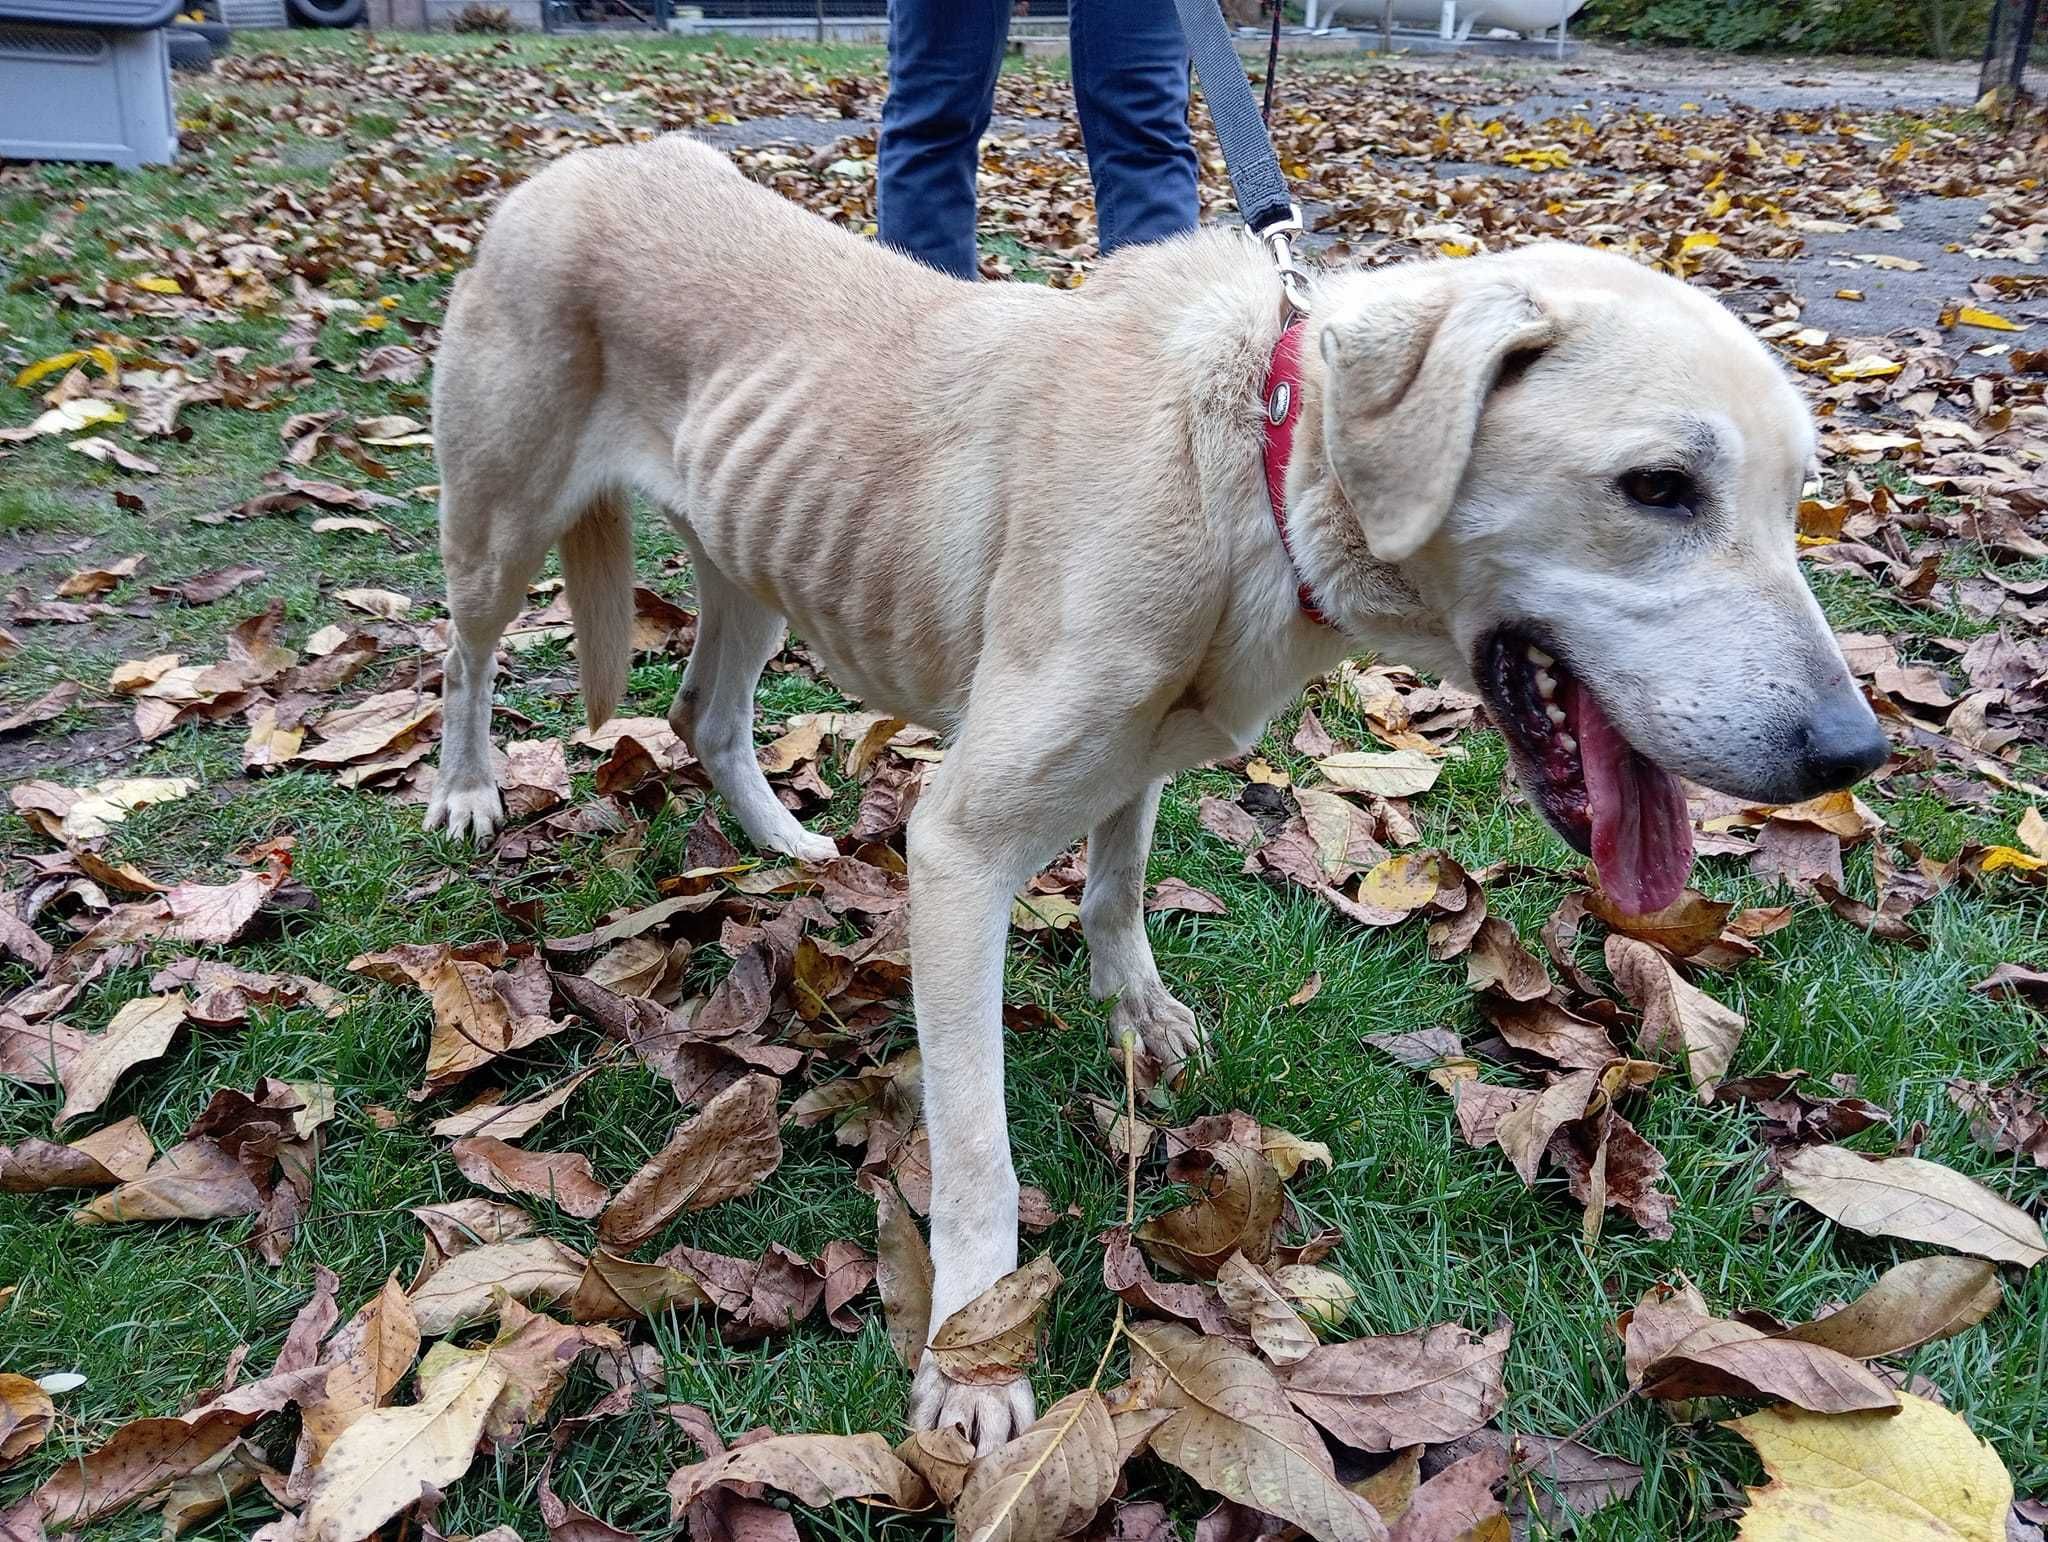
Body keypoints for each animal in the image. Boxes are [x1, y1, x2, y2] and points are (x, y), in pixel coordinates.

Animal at [428, 132, 1884, 1441]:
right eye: (1659, 487)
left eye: (1799, 500)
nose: (1853, 752)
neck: (1250, 460)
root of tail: (573, 167)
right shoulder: (958, 852)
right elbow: (975, 1152)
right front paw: (971, 1361)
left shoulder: (1137, 754)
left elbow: (1119, 875)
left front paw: (1131, 1003)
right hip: (497, 524)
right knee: (471, 653)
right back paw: (465, 787)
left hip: (751, 557)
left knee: (706, 711)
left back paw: (786, 841)